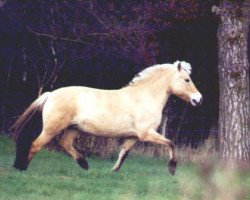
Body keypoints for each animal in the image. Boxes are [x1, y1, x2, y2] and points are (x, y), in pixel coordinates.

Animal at [12, 61, 203, 175]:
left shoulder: (133, 137)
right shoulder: (146, 134)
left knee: (65, 144)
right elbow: (170, 143)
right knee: (36, 144)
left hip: (73, 129)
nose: (198, 99)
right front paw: (172, 168)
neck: (145, 96)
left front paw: (114, 172)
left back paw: (84, 164)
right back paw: (23, 168)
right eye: (187, 79)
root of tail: (51, 94)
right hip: (52, 129)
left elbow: (123, 154)